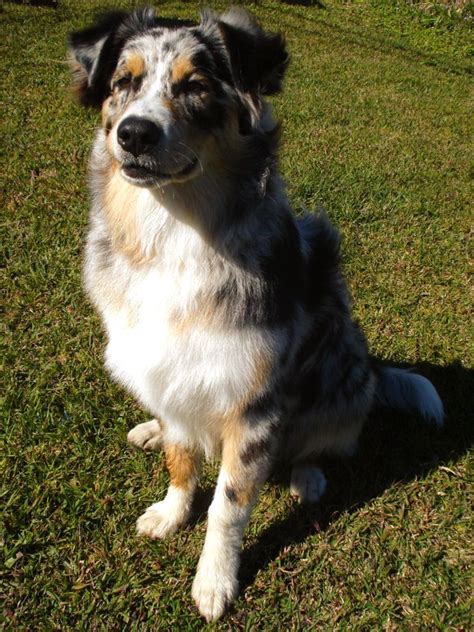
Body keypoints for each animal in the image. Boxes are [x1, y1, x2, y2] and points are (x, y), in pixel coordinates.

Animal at [67, 7, 444, 624]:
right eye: (124, 82)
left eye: (196, 86)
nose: (134, 133)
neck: (174, 233)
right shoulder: (167, 365)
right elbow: (180, 458)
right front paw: (171, 511)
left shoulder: (255, 403)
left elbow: (229, 504)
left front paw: (214, 582)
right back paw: (149, 429)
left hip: (345, 376)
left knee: (325, 438)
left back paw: (307, 476)